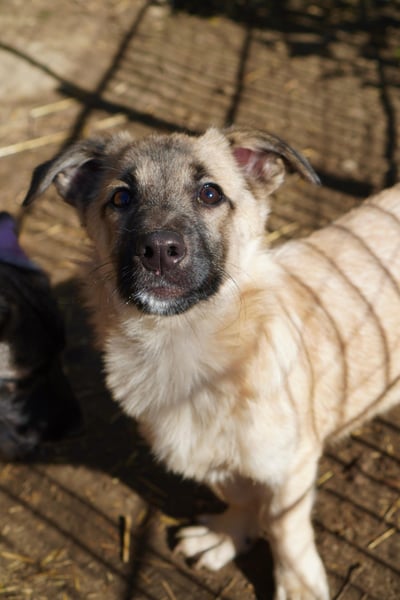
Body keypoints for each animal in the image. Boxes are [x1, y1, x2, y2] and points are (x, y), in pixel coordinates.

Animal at [22, 126, 400, 599]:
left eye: (210, 193)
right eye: (121, 198)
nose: (159, 250)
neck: (185, 349)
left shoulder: (292, 464)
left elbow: (285, 527)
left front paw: (297, 584)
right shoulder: (213, 461)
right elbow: (241, 497)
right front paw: (228, 536)